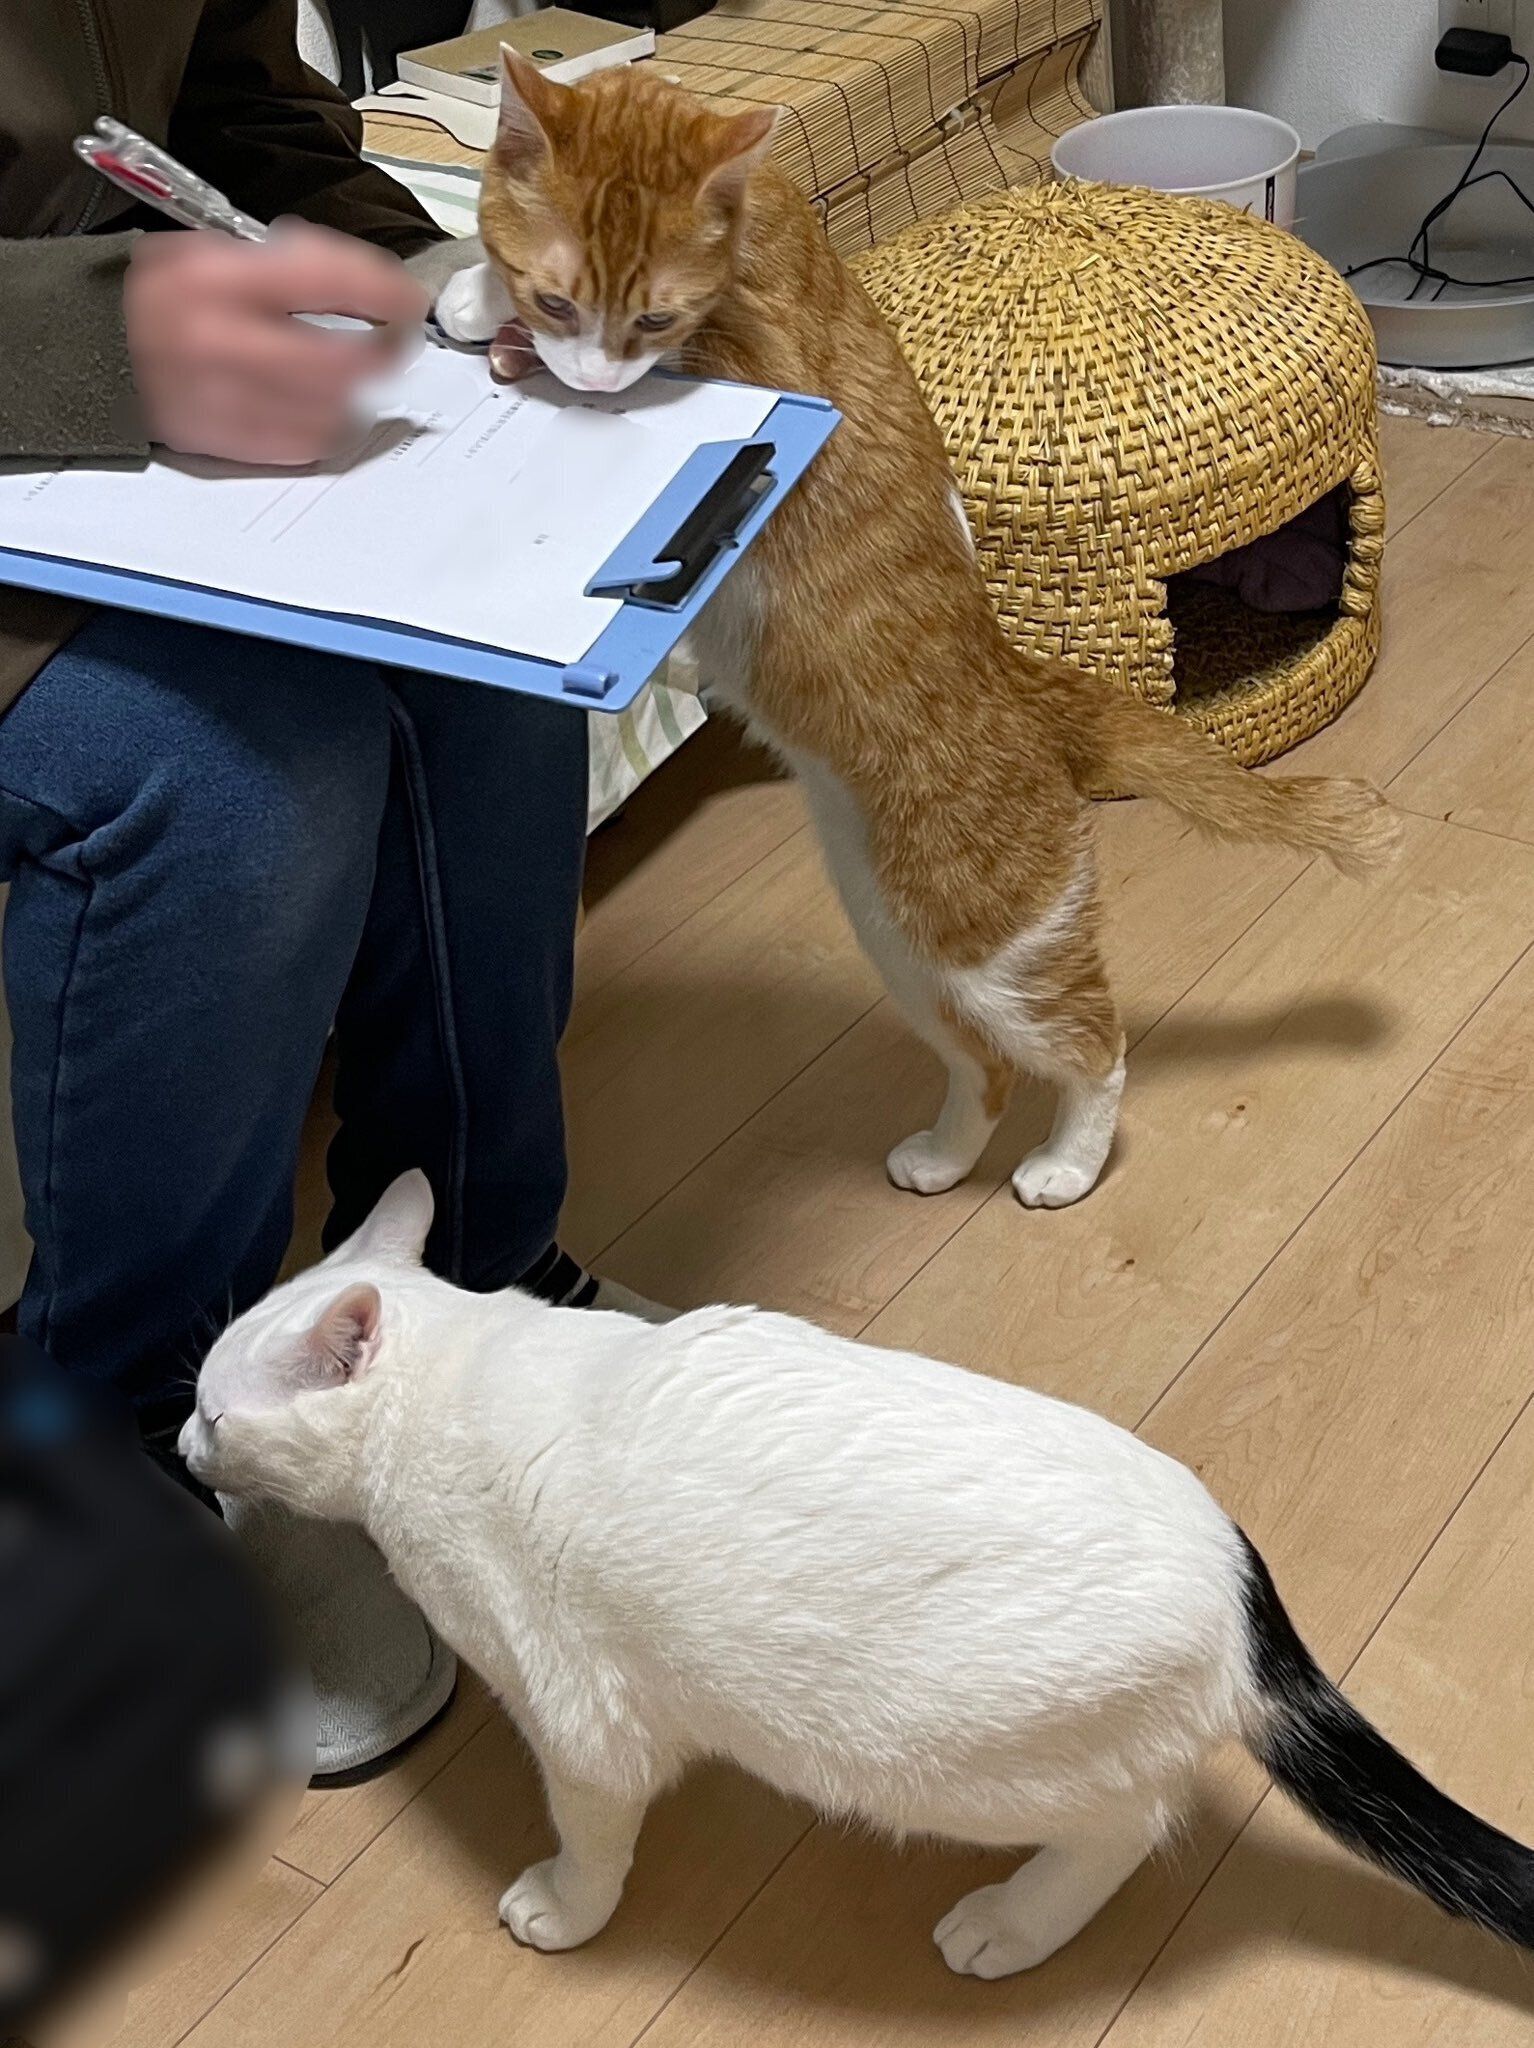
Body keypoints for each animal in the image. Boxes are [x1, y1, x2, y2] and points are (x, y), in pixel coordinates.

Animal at [182, 1172, 1534, 1976]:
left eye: (211, 1406)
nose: (185, 1448)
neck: (453, 1370)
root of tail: (1241, 1581)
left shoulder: (583, 1723)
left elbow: (592, 1835)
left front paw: (563, 1908)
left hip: (958, 1752)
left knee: (1126, 1828)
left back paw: (1009, 1922)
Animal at [436, 54, 1399, 1215]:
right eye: (560, 297)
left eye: (658, 321)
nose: (589, 382)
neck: (764, 215)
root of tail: (1032, 685)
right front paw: (474, 292)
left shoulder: (765, 362)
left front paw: (480, 308)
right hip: (898, 932)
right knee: (979, 1064)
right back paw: (940, 1158)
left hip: (985, 934)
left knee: (1093, 1045)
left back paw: (1066, 1166)